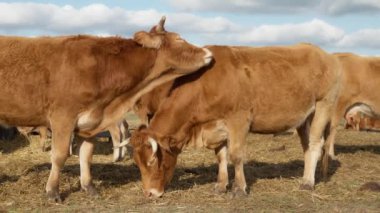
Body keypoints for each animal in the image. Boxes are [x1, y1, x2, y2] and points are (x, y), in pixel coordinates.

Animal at [0, 17, 212, 202]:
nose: (209, 53)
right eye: (179, 39)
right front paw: (52, 191)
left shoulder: (88, 122)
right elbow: (59, 156)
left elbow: (86, 155)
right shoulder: (62, 117)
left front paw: (89, 188)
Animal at [124, 44, 342, 198]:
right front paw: (221, 186)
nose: (149, 193)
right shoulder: (216, 126)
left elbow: (236, 156)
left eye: (153, 161)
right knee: (307, 146)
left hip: (323, 105)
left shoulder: (239, 120)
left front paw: (239, 188)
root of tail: (322, 53)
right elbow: (221, 157)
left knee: (316, 144)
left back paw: (307, 182)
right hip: (304, 118)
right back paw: (306, 176)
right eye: (137, 162)